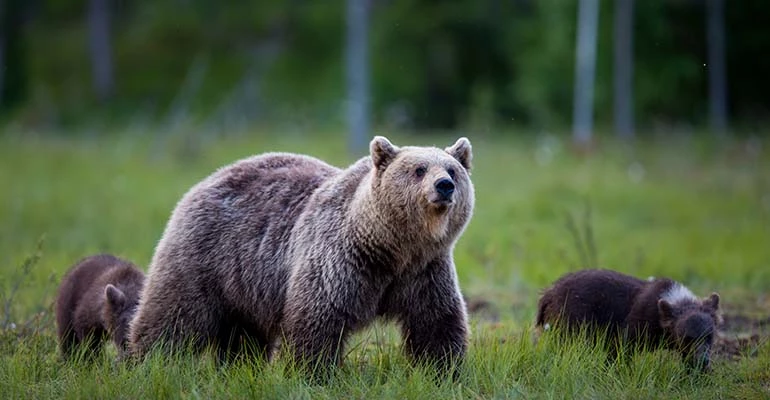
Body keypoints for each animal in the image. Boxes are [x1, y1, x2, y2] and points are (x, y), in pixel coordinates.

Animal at [129, 136, 472, 376]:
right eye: (419, 169)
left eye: (452, 169)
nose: (444, 185)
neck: (390, 247)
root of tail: (209, 178)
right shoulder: (341, 262)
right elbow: (317, 320)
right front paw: (315, 373)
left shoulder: (424, 272)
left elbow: (436, 322)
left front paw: (444, 372)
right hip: (203, 256)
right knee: (173, 317)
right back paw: (146, 362)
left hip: (245, 285)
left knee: (243, 337)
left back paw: (240, 369)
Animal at [536, 268, 720, 372]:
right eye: (687, 338)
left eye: (709, 336)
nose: (703, 361)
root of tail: (549, 293)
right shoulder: (638, 320)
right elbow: (622, 347)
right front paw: (614, 371)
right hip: (570, 317)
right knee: (567, 345)